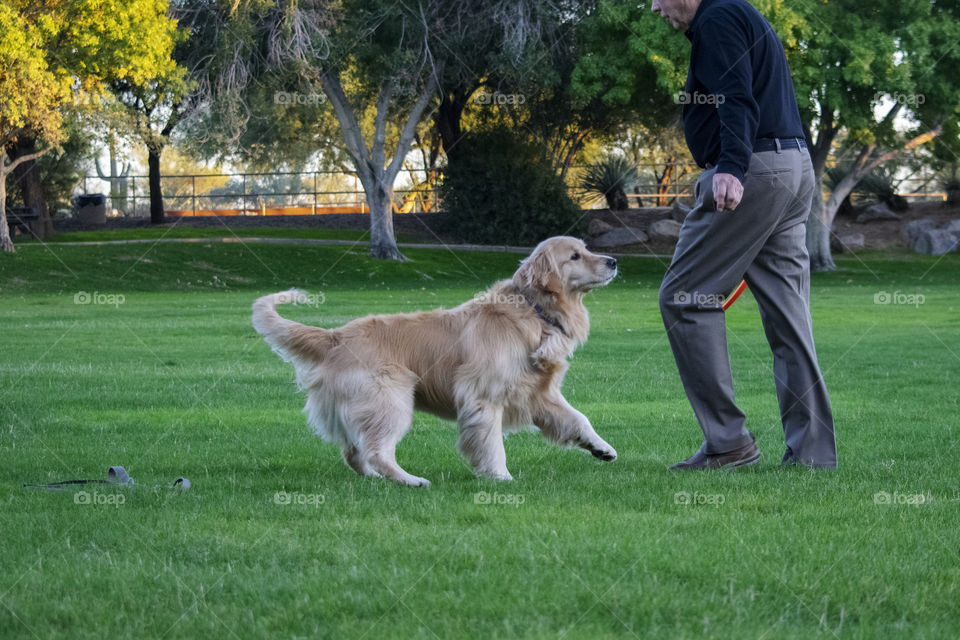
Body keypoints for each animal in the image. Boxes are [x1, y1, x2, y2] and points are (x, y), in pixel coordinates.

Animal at [251, 235, 620, 484]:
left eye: (587, 249)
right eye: (575, 256)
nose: (614, 261)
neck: (534, 312)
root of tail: (335, 336)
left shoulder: (538, 394)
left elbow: (578, 419)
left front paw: (601, 447)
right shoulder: (483, 397)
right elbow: (491, 443)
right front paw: (500, 476)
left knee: (354, 451)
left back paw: (375, 479)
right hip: (391, 399)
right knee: (375, 450)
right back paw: (410, 480)